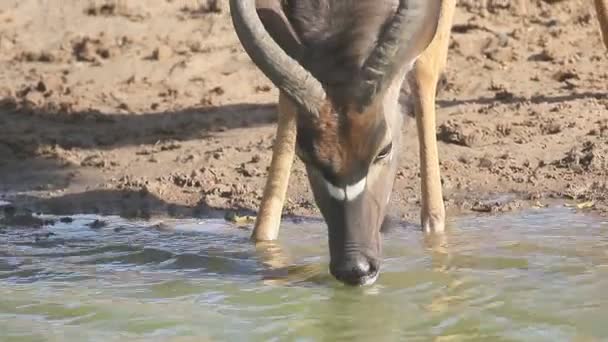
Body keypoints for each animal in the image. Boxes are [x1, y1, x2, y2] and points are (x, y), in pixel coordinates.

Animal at [229, 0, 608, 286]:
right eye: (306, 155)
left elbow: (424, 65)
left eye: (384, 149)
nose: (355, 268)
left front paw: (436, 234)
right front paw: (263, 241)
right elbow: (285, 95)